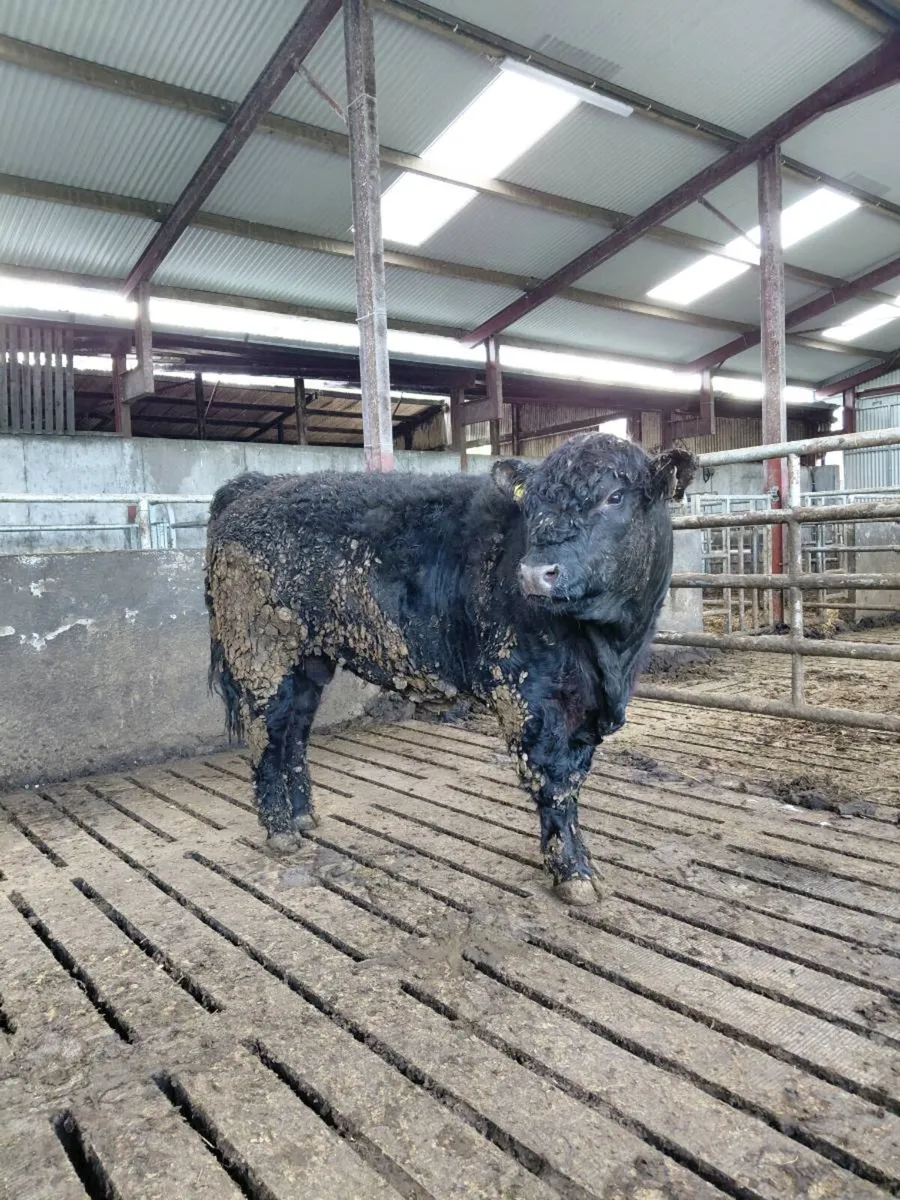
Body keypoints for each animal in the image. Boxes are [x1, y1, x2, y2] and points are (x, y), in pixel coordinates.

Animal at [205, 433, 694, 904]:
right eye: (533, 505)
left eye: (616, 496)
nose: (535, 573)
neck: (613, 654)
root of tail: (257, 485)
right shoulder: (530, 694)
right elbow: (555, 780)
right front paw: (574, 874)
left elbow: (576, 774)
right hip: (263, 654)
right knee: (266, 734)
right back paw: (280, 830)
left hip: (309, 661)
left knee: (294, 732)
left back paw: (304, 816)